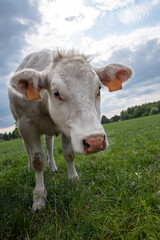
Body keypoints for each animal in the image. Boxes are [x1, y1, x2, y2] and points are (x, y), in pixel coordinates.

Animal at [8, 49, 132, 210]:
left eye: (99, 89)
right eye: (56, 93)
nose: (95, 141)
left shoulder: (68, 128)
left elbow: (69, 153)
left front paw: (73, 179)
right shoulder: (26, 125)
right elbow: (38, 160)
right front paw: (39, 197)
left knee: (49, 145)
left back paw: (52, 167)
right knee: (28, 150)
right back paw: (30, 168)